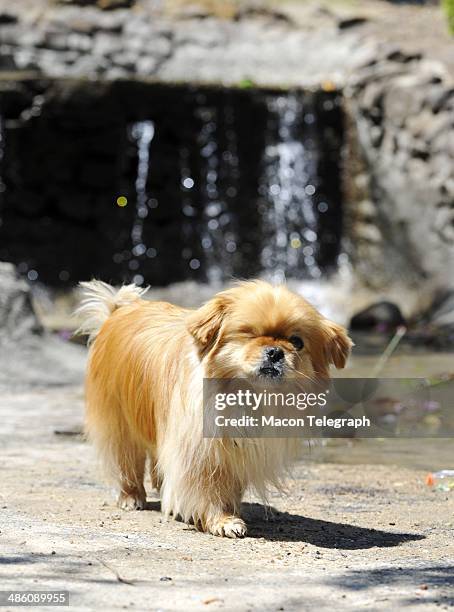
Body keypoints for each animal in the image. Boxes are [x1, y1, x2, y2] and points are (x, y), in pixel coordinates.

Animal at [77, 280, 352, 536]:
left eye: (296, 342)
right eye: (249, 334)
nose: (275, 352)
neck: (246, 395)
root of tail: (118, 311)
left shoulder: (236, 449)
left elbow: (231, 486)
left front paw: (231, 511)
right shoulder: (201, 452)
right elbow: (208, 488)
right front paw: (223, 521)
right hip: (120, 423)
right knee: (127, 462)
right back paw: (131, 497)